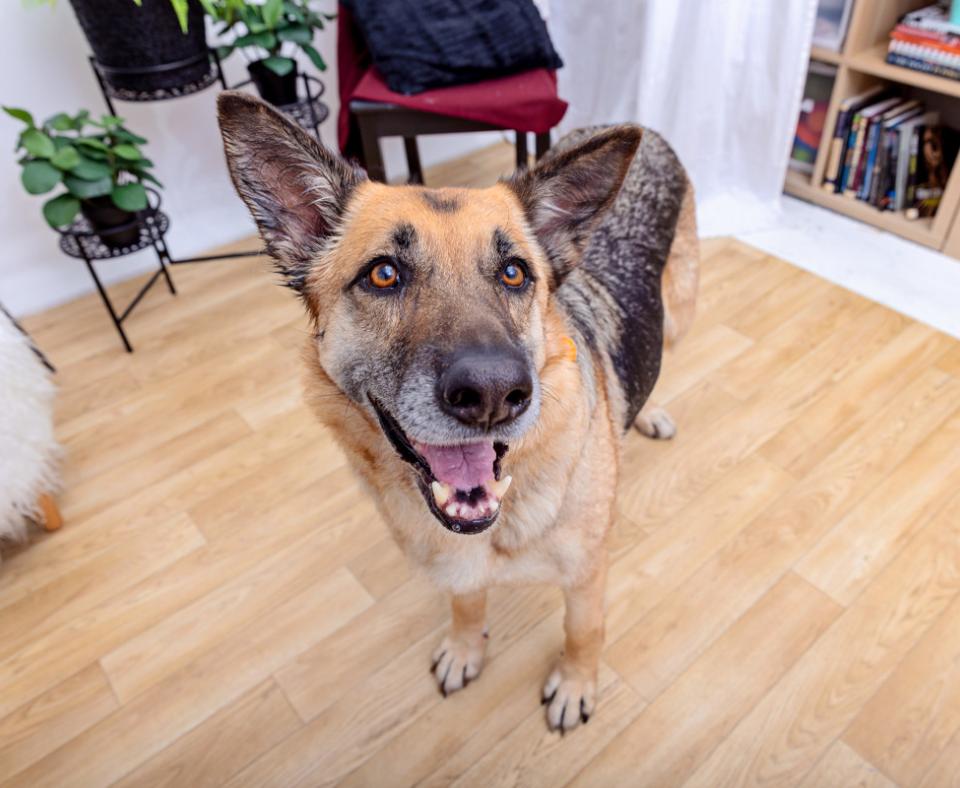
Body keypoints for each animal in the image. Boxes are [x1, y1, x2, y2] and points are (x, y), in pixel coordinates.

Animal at [218, 92, 696, 732]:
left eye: (514, 273)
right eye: (383, 274)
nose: (495, 394)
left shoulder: (586, 575)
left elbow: (583, 632)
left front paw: (575, 684)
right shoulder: (457, 566)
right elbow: (466, 604)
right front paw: (467, 649)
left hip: (679, 309)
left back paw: (647, 413)